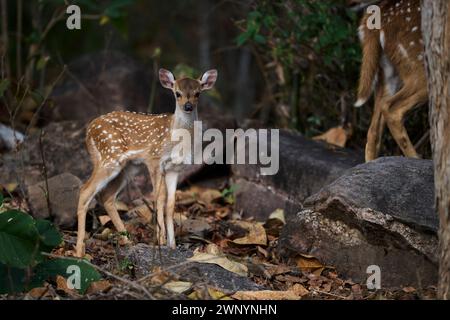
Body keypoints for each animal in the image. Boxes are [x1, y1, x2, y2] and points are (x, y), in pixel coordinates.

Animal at [75, 68, 218, 258]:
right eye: (177, 93)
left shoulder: (175, 169)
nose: (188, 106)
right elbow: (159, 197)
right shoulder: (154, 159)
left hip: (129, 167)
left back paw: (127, 241)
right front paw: (161, 241)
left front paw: (172, 245)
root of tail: (89, 130)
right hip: (109, 157)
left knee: (107, 197)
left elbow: (171, 204)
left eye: (198, 93)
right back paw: (79, 251)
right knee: (85, 190)